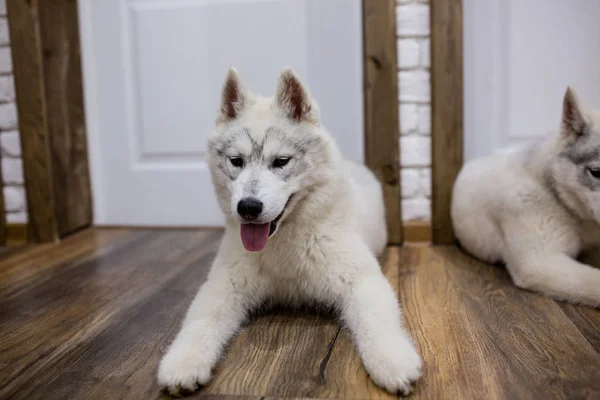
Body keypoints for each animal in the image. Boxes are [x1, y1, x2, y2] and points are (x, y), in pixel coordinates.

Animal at [159, 67, 422, 396]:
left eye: (281, 162)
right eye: (236, 161)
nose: (248, 207)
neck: (283, 242)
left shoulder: (361, 281)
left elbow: (378, 322)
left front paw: (393, 360)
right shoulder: (223, 285)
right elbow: (200, 321)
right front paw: (184, 361)